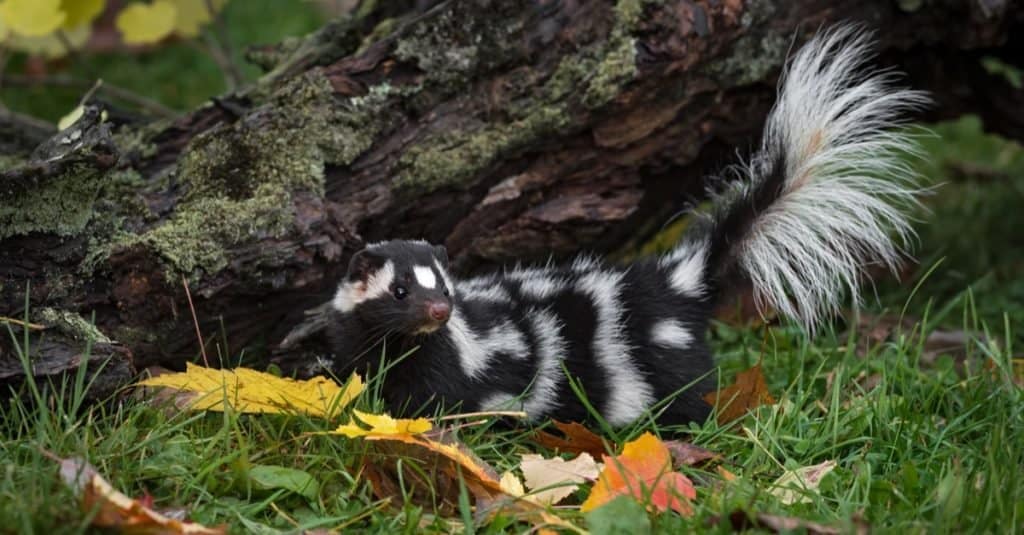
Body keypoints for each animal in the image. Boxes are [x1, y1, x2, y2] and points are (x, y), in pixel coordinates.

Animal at [325, 29, 929, 426]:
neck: (409, 344)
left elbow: (447, 404)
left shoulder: (461, 366)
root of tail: (679, 277)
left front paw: (427, 428)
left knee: (685, 396)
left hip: (660, 358)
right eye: (400, 292)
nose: (438, 312)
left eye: (444, 291)